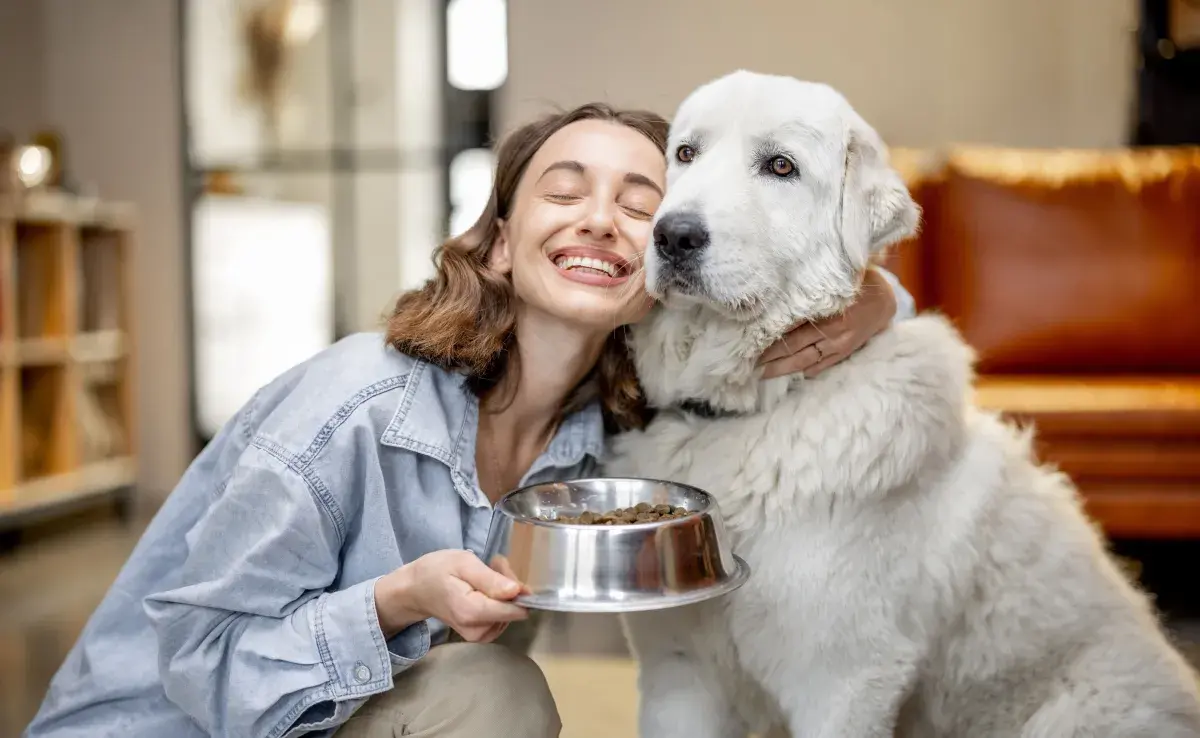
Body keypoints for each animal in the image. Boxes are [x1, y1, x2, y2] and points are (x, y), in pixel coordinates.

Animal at [609, 70, 1200, 738]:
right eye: (686, 153)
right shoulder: (679, 669)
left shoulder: (842, 682)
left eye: (781, 166)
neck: (757, 405)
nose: (673, 236)